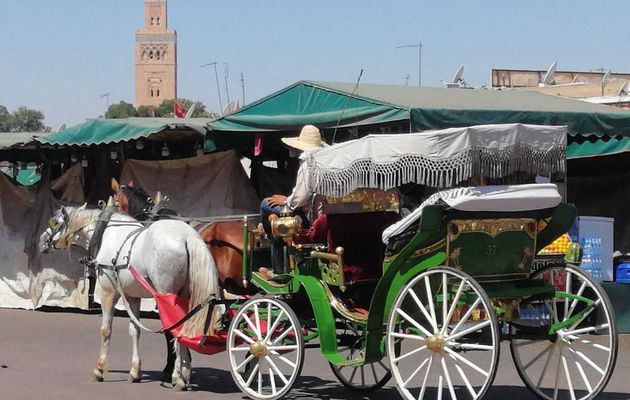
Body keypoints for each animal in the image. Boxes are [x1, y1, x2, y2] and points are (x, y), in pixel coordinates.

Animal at [39, 205, 222, 390]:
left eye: (56, 223)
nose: (42, 241)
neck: (107, 234)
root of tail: (187, 236)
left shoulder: (108, 293)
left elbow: (105, 330)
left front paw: (99, 369)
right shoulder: (132, 296)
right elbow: (135, 331)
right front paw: (135, 371)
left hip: (167, 295)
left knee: (175, 330)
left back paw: (180, 376)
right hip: (183, 296)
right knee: (182, 328)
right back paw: (182, 375)